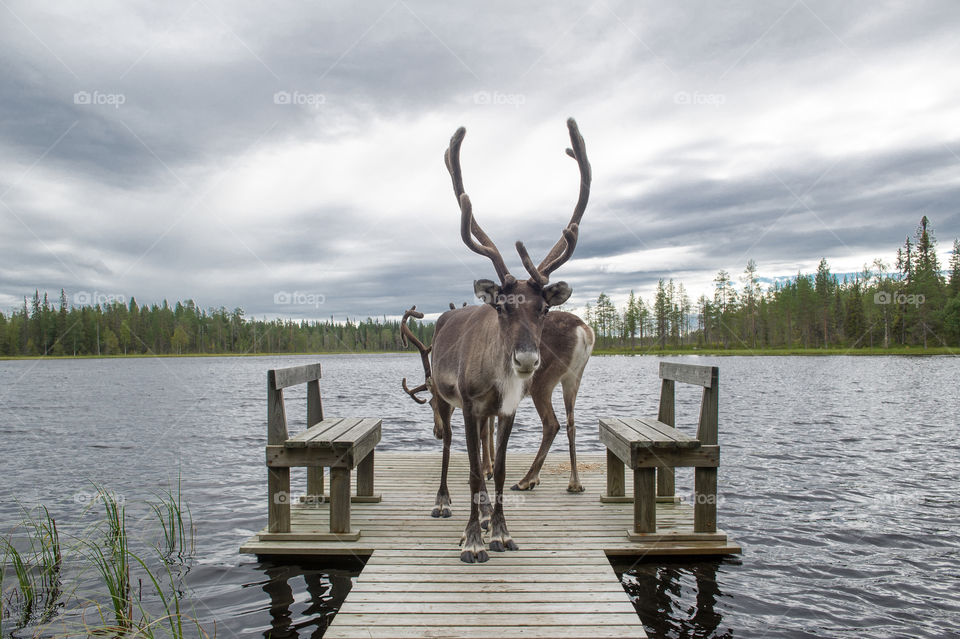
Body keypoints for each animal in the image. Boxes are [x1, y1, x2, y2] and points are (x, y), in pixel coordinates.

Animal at [416, 118, 590, 563]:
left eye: (543, 309)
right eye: (502, 307)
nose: (527, 360)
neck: (498, 381)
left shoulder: (506, 409)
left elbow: (498, 470)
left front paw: (498, 532)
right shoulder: (471, 404)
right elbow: (475, 470)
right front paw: (473, 541)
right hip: (443, 395)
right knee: (449, 449)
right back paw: (443, 503)